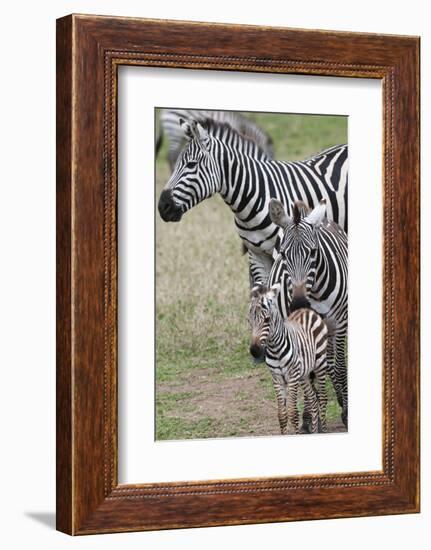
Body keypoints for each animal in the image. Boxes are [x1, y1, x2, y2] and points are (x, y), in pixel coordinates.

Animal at [248, 284, 330, 436]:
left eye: (267, 320)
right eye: (249, 321)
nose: (254, 351)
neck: (275, 350)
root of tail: (306, 310)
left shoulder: (292, 378)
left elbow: (293, 413)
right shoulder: (277, 379)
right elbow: (282, 415)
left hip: (320, 364)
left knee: (322, 398)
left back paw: (324, 430)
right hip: (303, 374)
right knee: (313, 399)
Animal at [268, 201, 350, 430]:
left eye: (313, 252)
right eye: (283, 254)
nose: (298, 303)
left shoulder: (340, 323)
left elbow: (339, 366)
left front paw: (346, 412)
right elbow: (308, 371)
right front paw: (309, 418)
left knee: (332, 363)